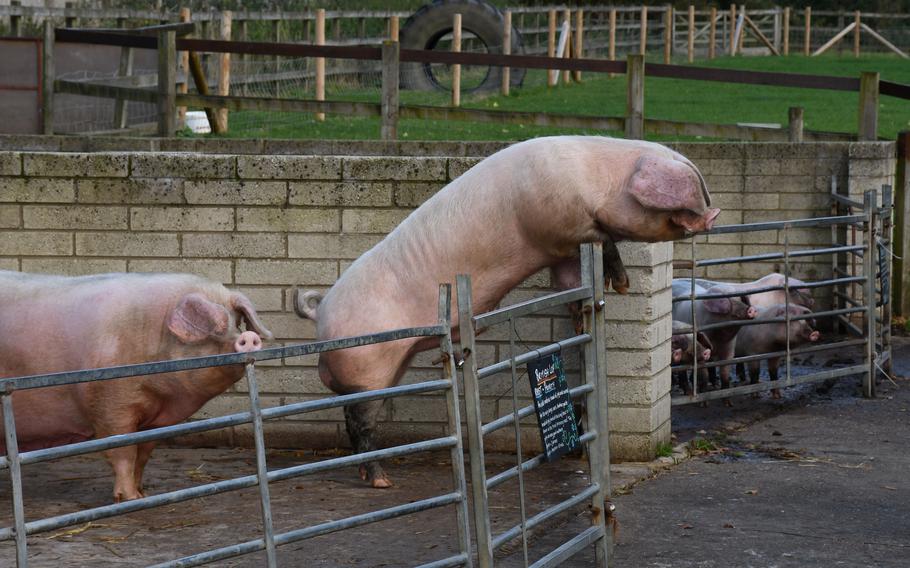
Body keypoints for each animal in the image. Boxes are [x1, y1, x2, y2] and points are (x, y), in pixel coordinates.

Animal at [0, 272, 272, 502]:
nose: (248, 337)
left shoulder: (155, 420)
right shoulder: (110, 404)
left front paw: (144, 495)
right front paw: (128, 499)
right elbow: (123, 450)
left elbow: (143, 454)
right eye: (214, 329)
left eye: (237, 322)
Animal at [298, 135, 720, 486]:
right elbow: (605, 240)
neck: (596, 180)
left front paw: (588, 309)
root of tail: (321, 315)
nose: (713, 215)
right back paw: (381, 480)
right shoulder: (560, 225)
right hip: (366, 367)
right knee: (358, 423)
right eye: (696, 192)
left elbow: (571, 279)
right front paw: (623, 283)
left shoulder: (562, 250)